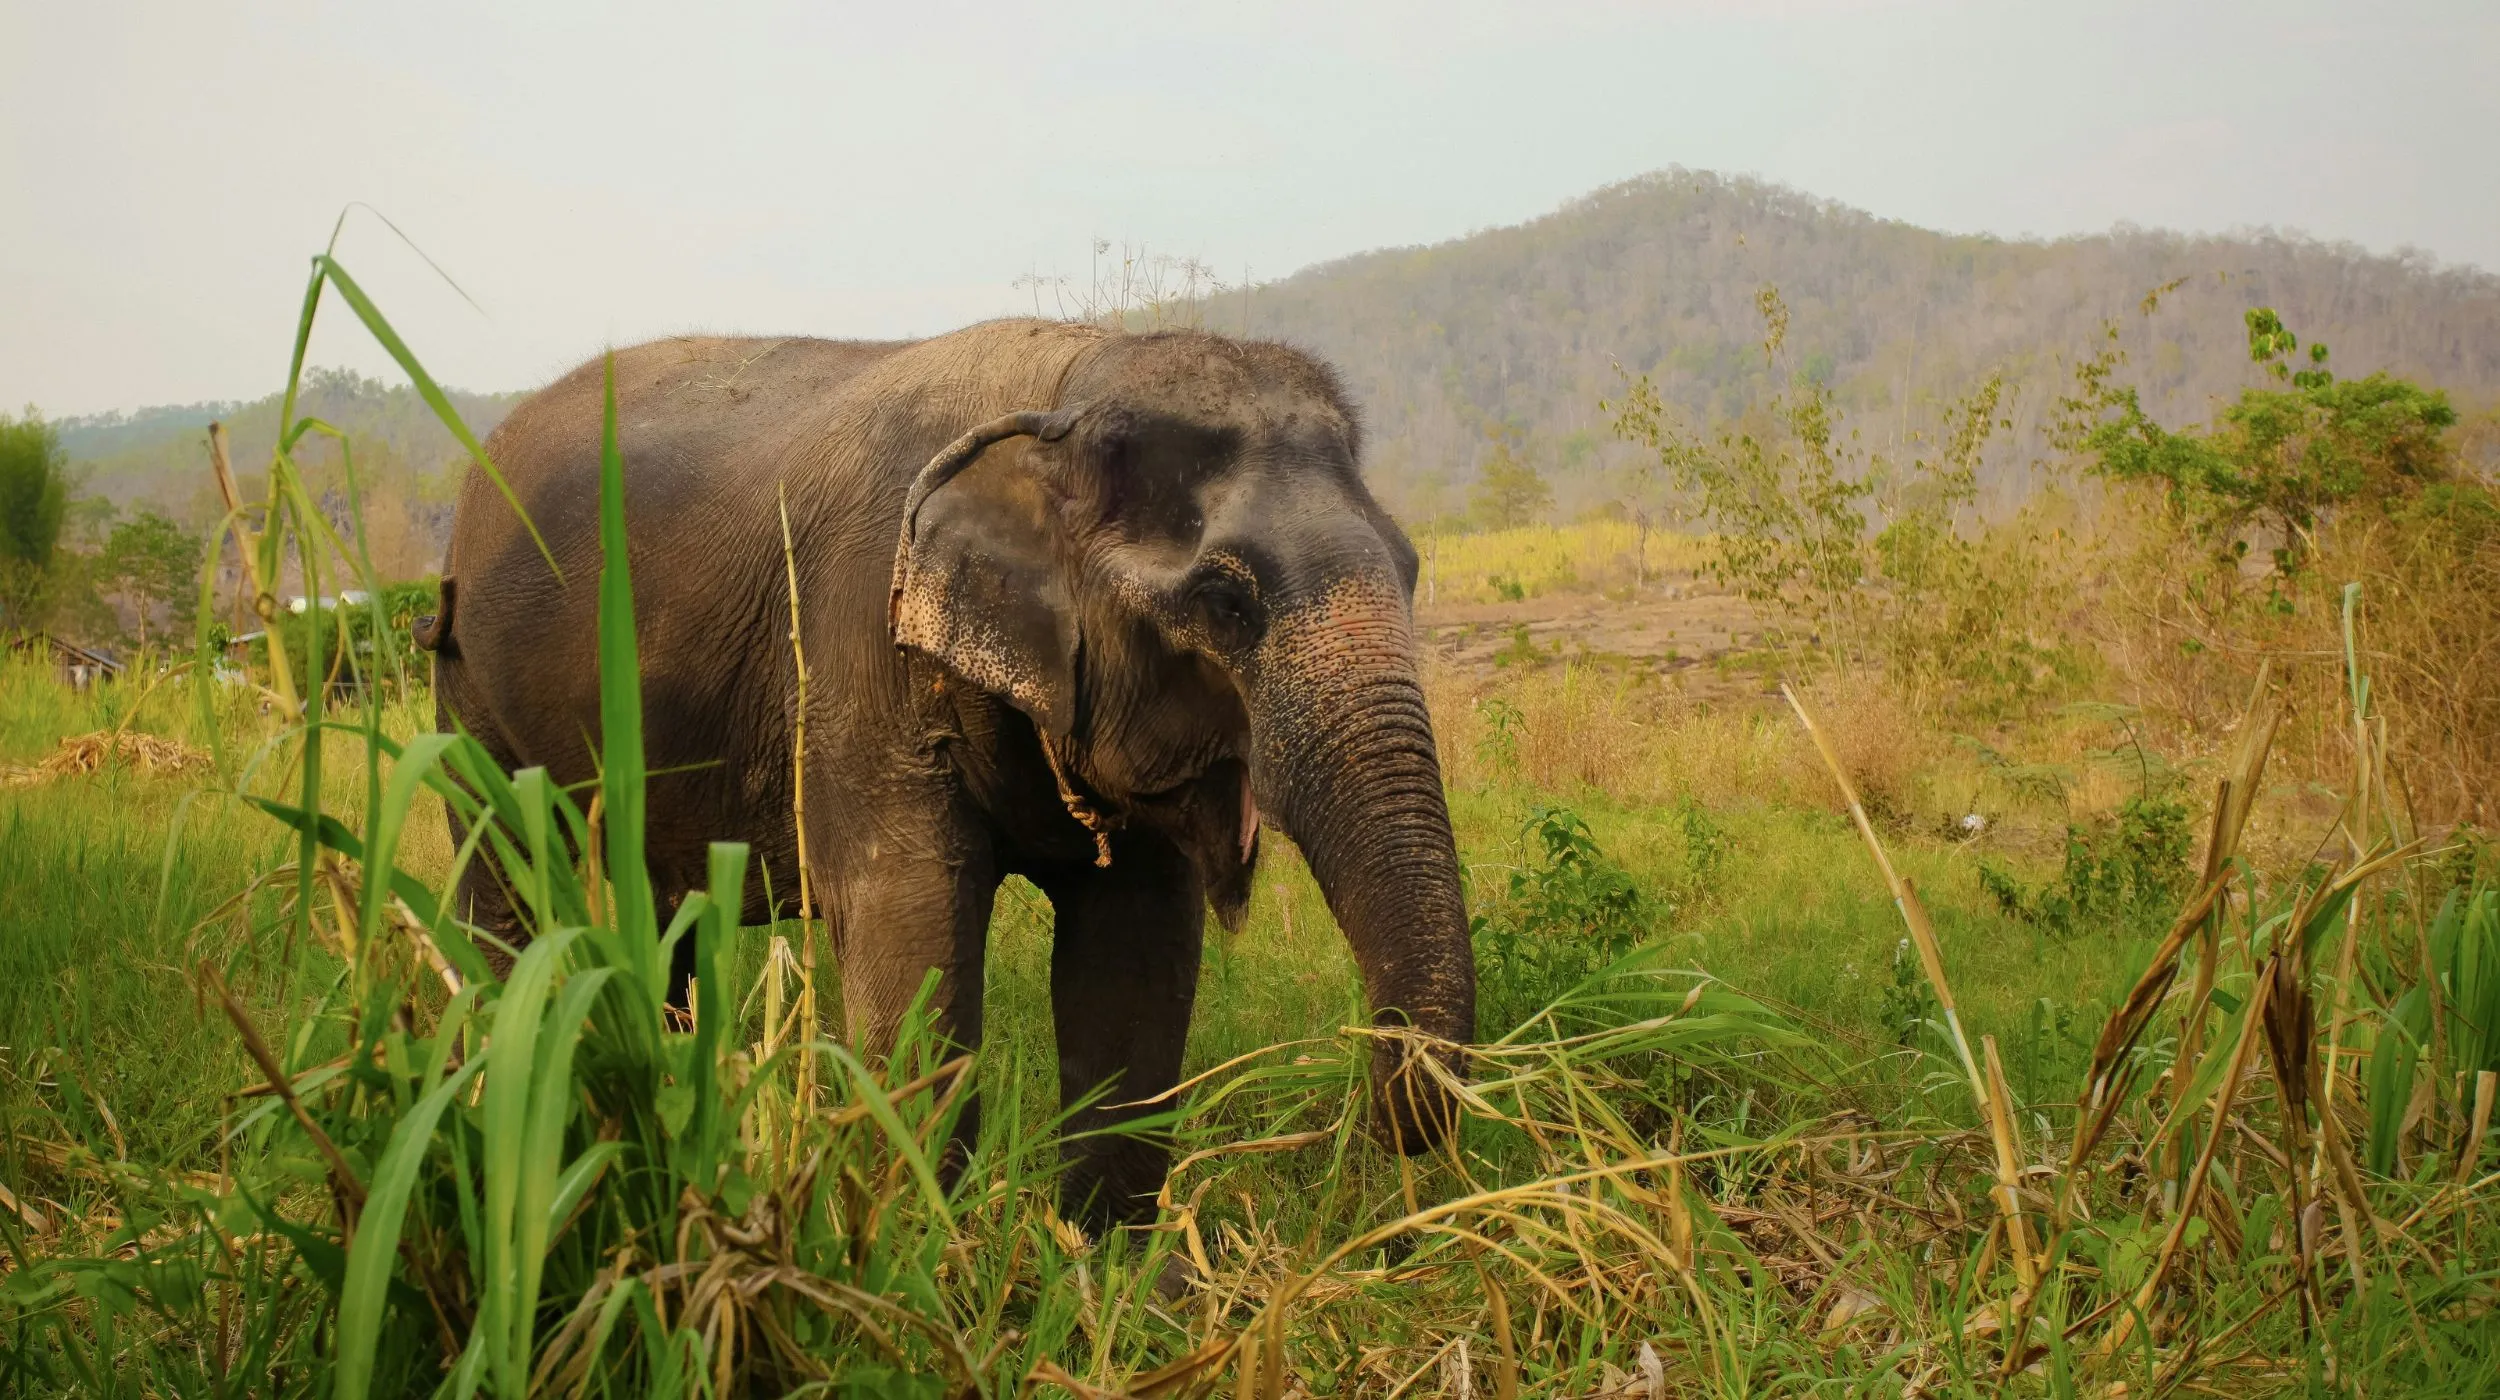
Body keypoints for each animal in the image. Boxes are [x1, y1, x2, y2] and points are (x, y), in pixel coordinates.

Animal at [418, 319, 1475, 1230]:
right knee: (504, 886)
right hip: (467, 689)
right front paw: (922, 1261)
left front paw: (1104, 1277)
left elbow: (1136, 958)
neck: (1068, 389)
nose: (1378, 1123)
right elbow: (913, 934)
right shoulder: (857, 645)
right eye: (1226, 601)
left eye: (1413, 568)